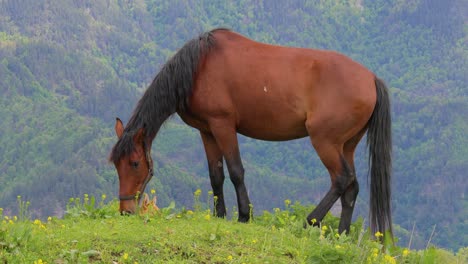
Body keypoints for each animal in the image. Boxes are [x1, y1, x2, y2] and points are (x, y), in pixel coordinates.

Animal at [109, 27, 392, 238]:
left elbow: (236, 171)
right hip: (346, 145)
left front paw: (245, 215)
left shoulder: (223, 125)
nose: (125, 210)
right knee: (352, 187)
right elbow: (216, 175)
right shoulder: (207, 131)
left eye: (134, 163)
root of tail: (371, 78)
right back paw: (341, 234)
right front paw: (219, 215)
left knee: (341, 179)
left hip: (325, 142)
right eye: (115, 164)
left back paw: (308, 222)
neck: (200, 65)